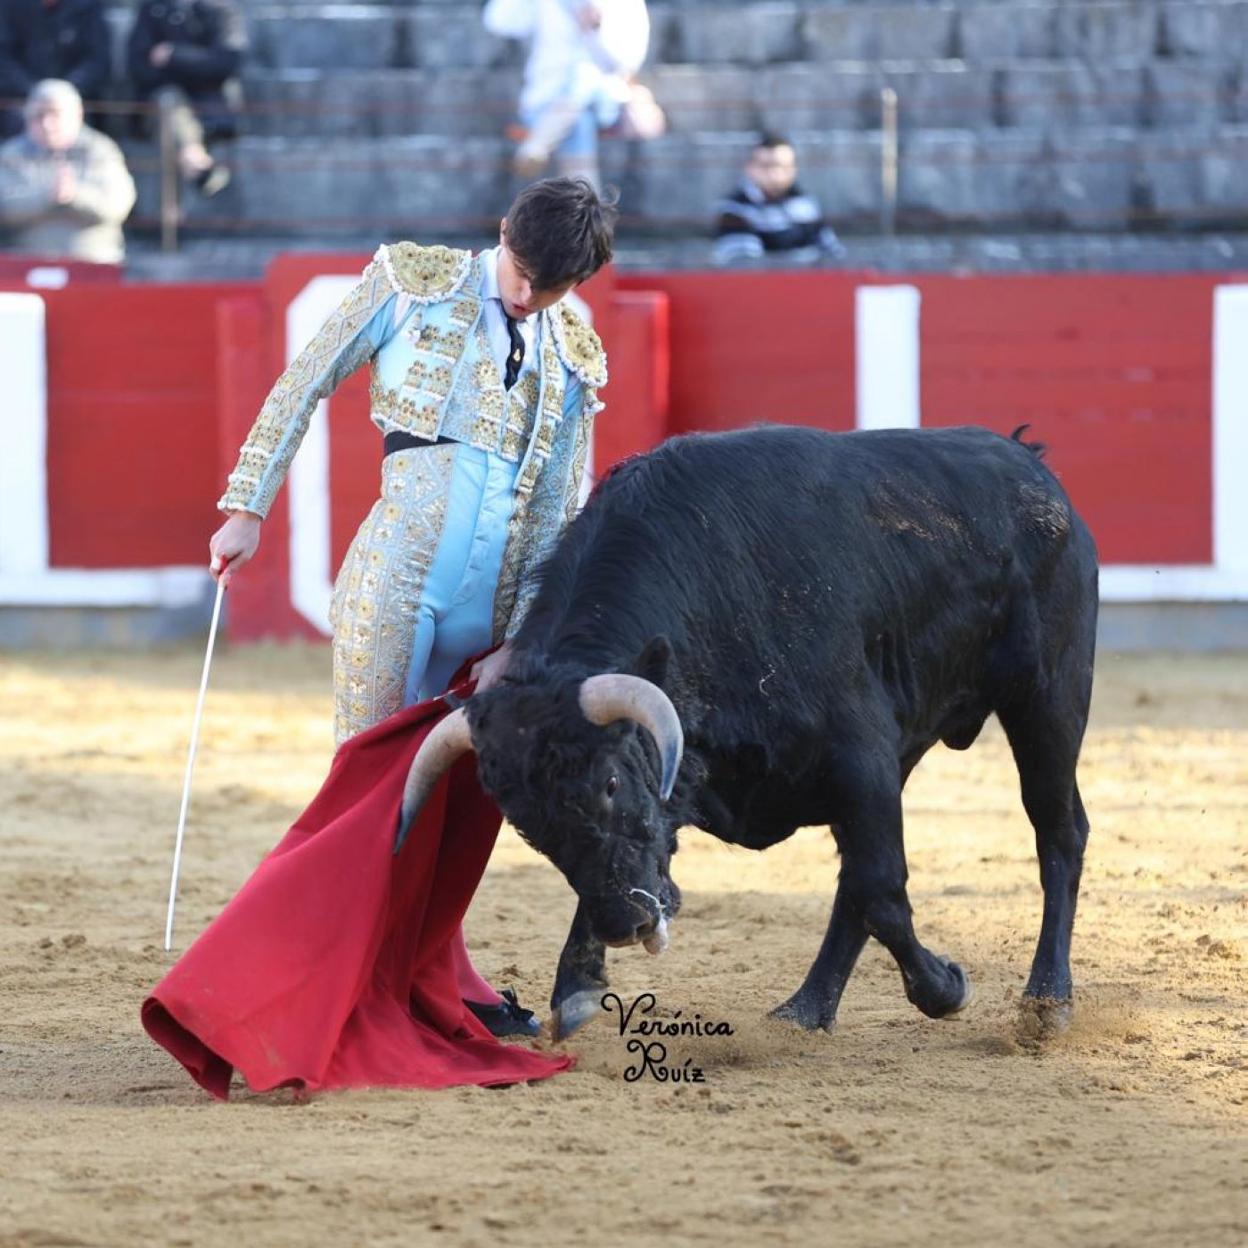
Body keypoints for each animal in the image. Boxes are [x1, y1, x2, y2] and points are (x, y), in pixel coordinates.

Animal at [396, 424, 1093, 1038]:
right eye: (526, 827)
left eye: (613, 782)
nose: (625, 925)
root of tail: (1032, 467)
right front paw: (577, 987)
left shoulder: (860, 755)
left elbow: (883, 890)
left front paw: (947, 988)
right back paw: (805, 1011)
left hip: (1049, 698)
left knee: (1058, 832)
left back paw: (1047, 1003)